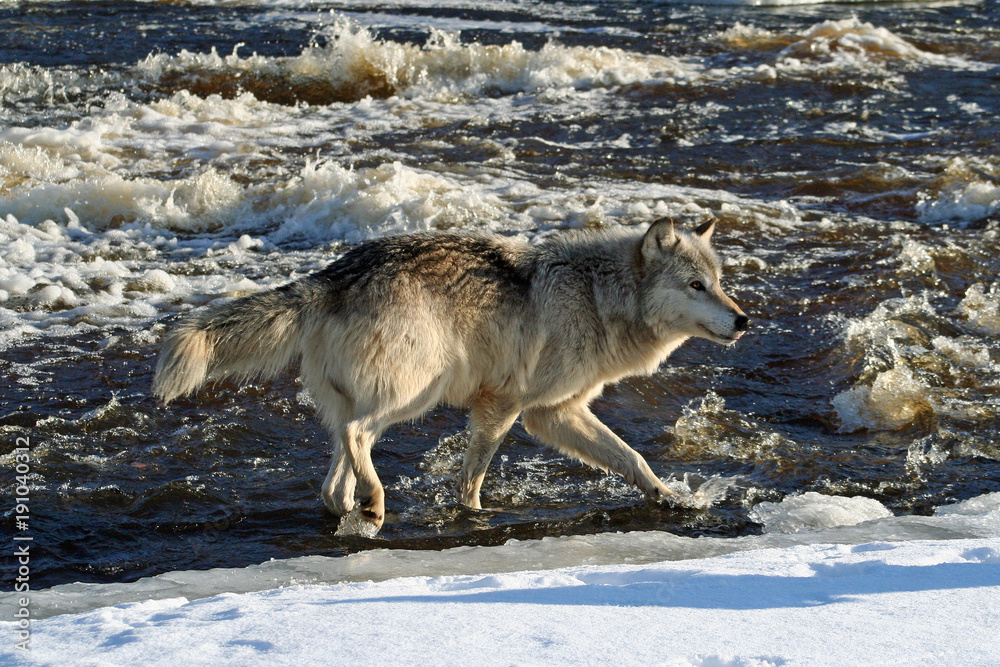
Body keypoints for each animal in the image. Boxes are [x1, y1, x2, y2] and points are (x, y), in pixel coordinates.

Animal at [153, 218, 748, 532]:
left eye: (720, 283)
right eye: (696, 286)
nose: (744, 320)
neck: (599, 297)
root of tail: (329, 277)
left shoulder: (556, 412)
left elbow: (633, 459)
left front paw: (671, 499)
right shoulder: (506, 407)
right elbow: (472, 477)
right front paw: (474, 517)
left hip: (368, 403)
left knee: (332, 480)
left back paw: (354, 510)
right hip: (418, 392)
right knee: (357, 437)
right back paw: (376, 502)